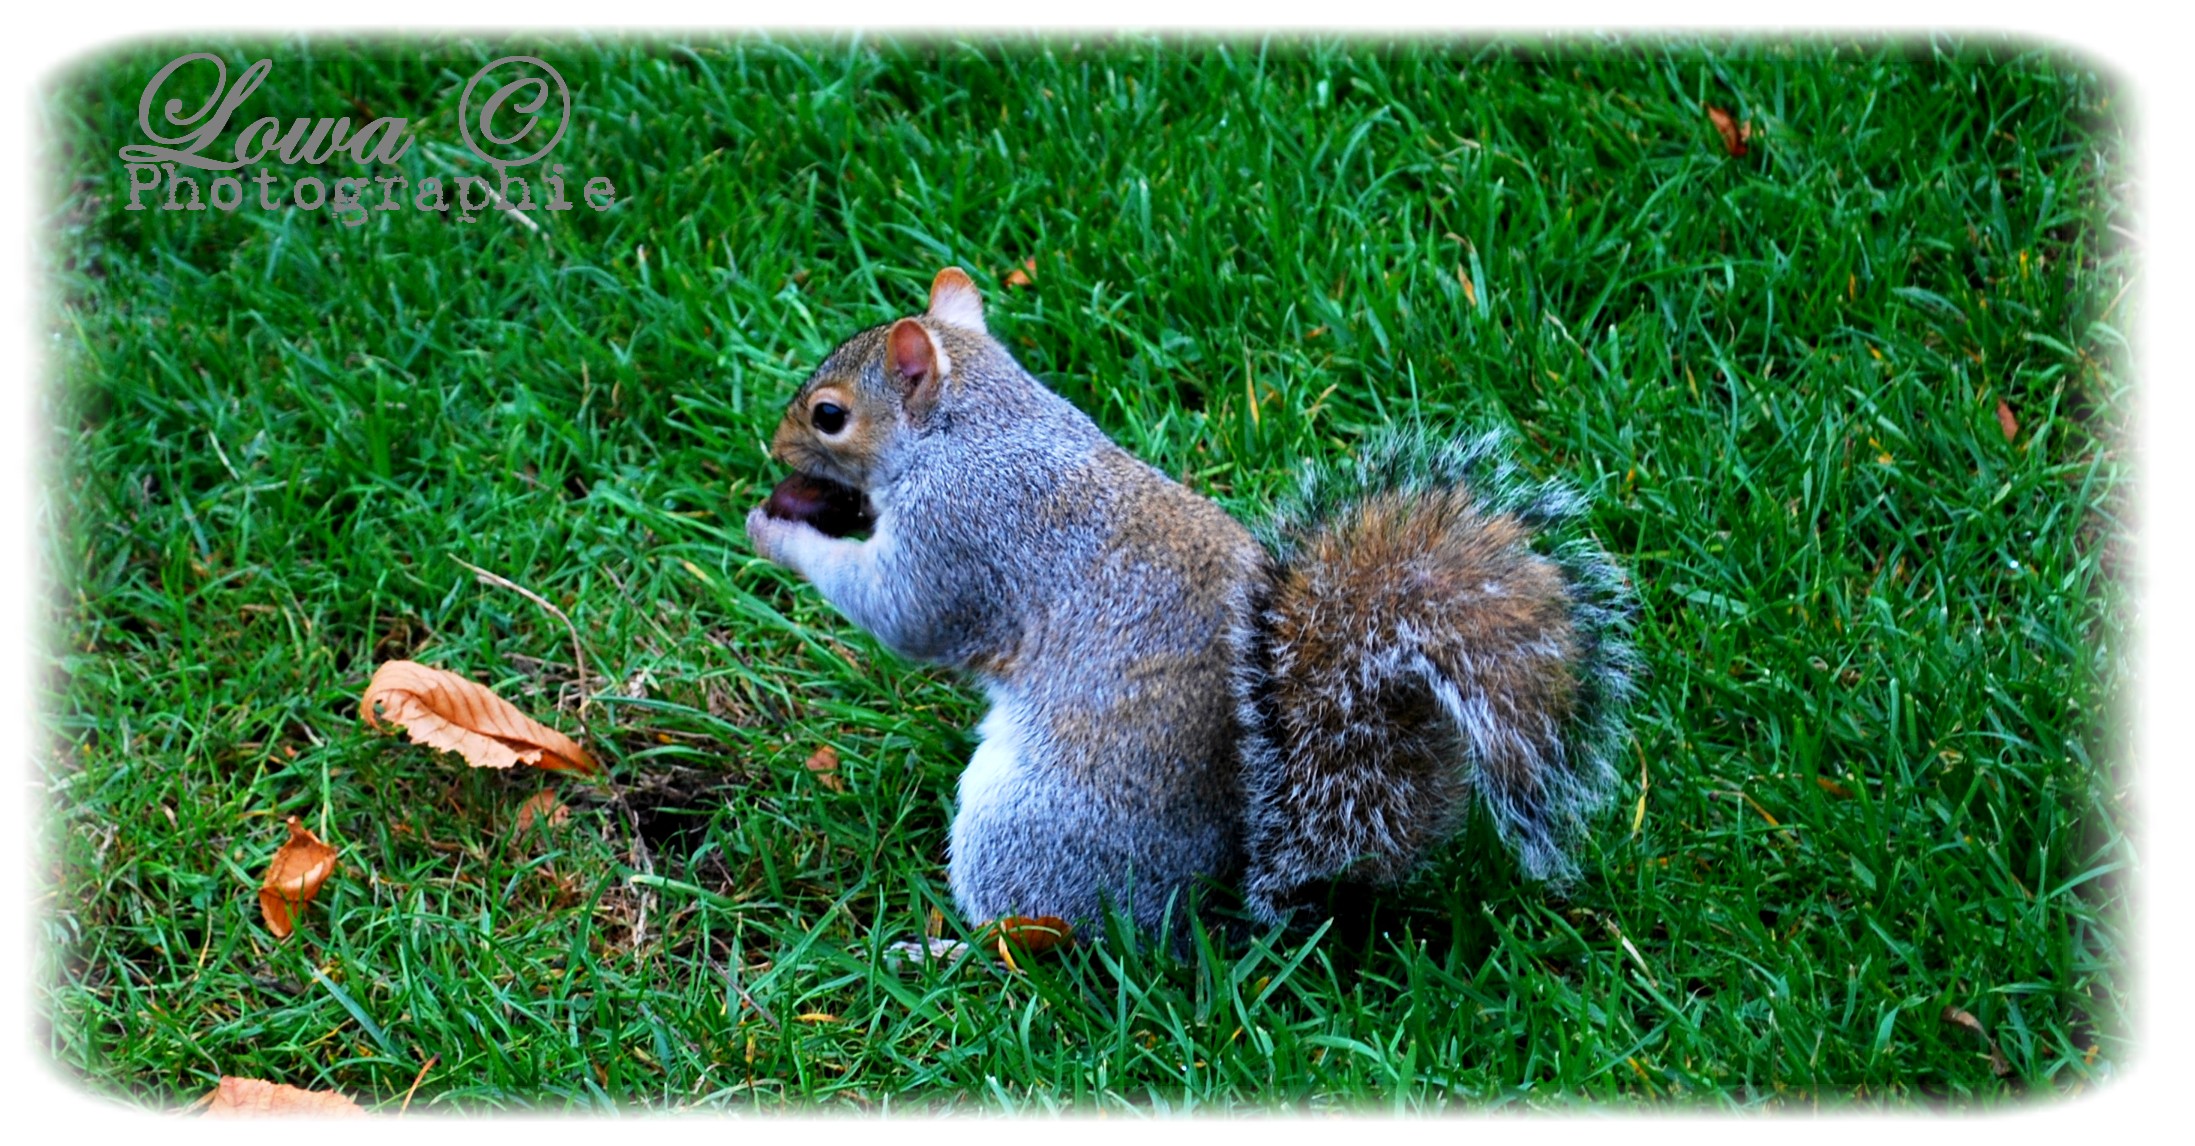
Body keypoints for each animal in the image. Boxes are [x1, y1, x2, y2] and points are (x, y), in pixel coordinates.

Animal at [746, 272, 1641, 930]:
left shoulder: (959, 534)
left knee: (1044, 936)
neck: (979, 425)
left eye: (829, 415)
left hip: (1023, 828)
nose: (773, 445)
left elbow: (902, 613)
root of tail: (1213, 905)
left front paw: (776, 531)